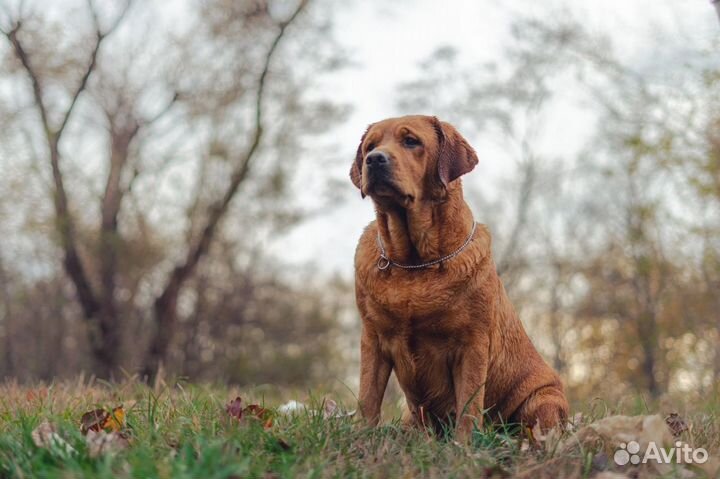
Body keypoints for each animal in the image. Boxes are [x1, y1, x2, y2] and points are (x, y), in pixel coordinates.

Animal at [348, 115, 568, 438]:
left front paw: (463, 445)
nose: (375, 160)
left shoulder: (472, 345)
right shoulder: (373, 338)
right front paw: (362, 437)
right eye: (370, 146)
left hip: (543, 400)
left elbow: (468, 405)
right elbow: (368, 398)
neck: (414, 263)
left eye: (411, 141)